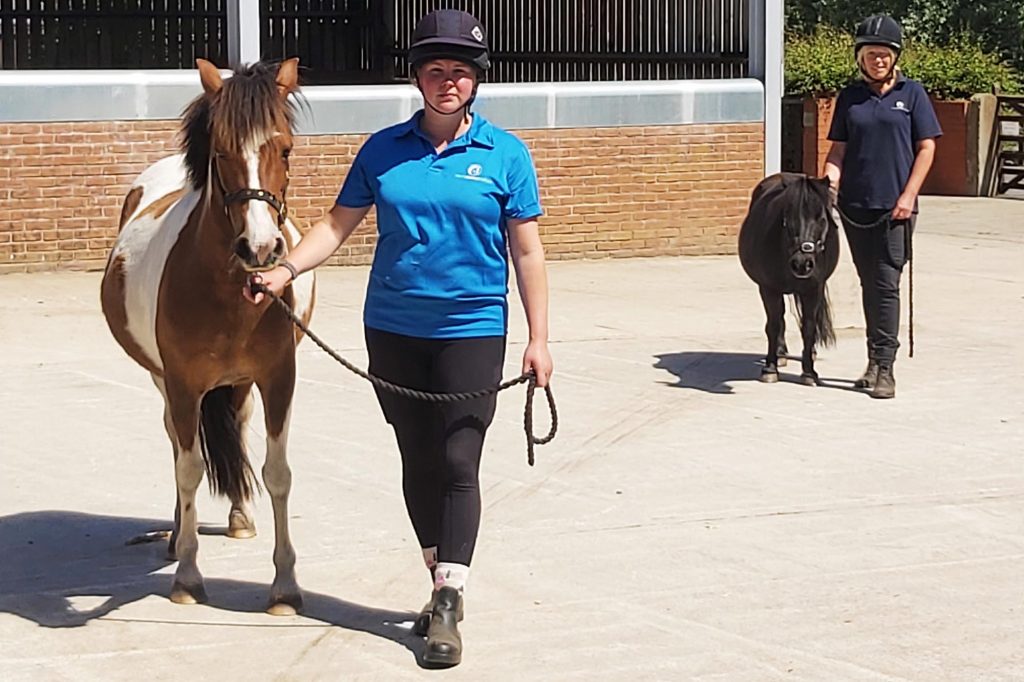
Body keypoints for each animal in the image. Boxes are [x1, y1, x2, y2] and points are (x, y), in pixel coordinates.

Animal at [101, 57, 315, 610]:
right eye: (220, 153)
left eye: (285, 149)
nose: (260, 249)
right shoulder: (182, 384)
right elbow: (189, 468)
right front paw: (187, 575)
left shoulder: (279, 378)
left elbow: (277, 473)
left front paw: (285, 587)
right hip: (163, 381)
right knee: (179, 445)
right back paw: (178, 533)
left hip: (238, 385)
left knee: (235, 429)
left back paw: (239, 517)